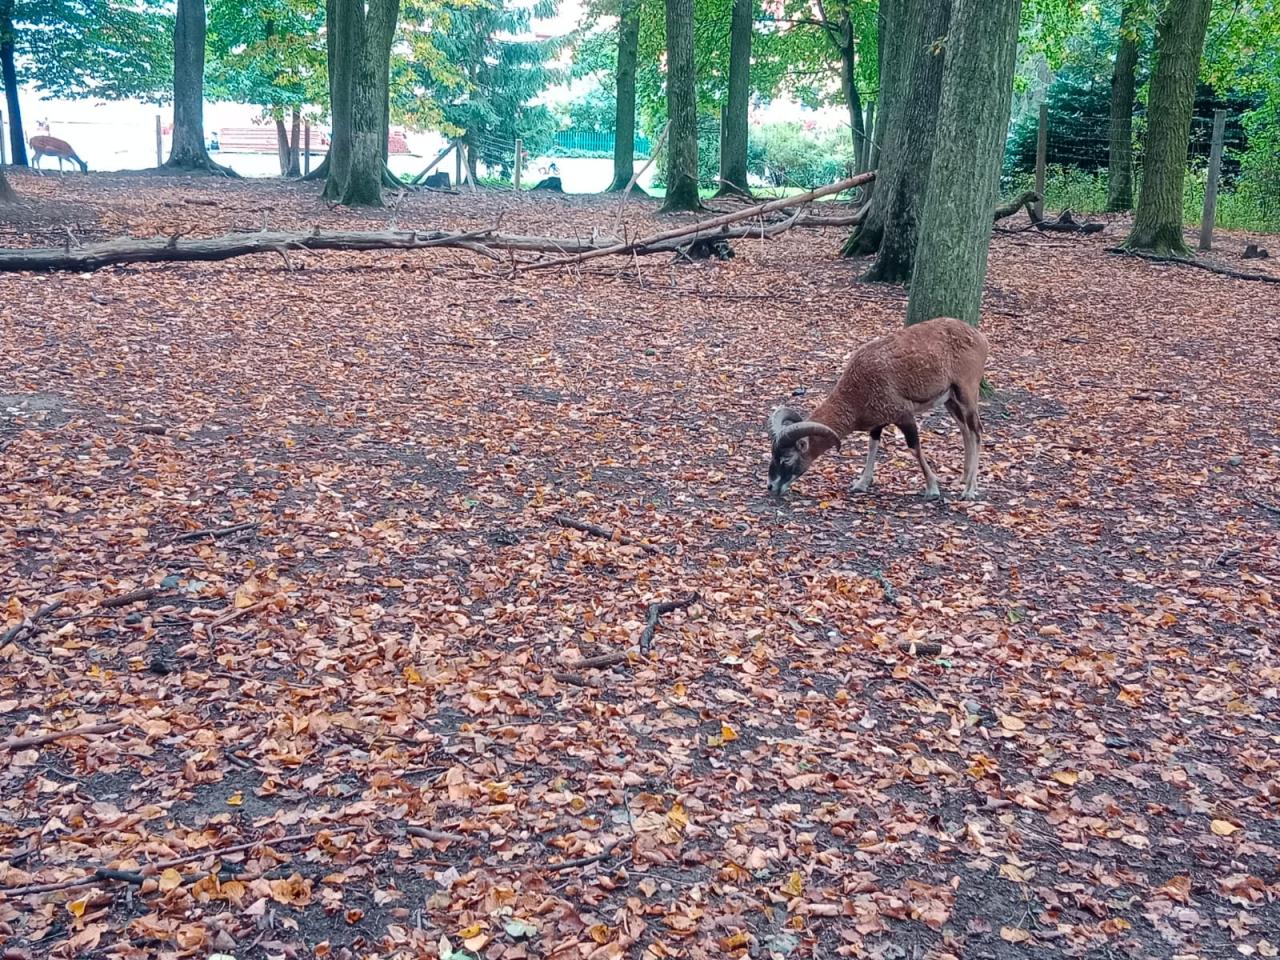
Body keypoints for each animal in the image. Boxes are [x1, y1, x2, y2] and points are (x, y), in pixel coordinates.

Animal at [767, 317, 989, 501]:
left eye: (786, 458)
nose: (771, 486)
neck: (857, 389)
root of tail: (980, 338)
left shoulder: (904, 416)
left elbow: (914, 448)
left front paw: (932, 489)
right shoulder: (877, 421)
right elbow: (872, 445)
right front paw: (861, 484)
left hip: (967, 391)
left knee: (976, 430)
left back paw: (969, 491)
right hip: (950, 399)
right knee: (965, 429)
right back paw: (964, 479)